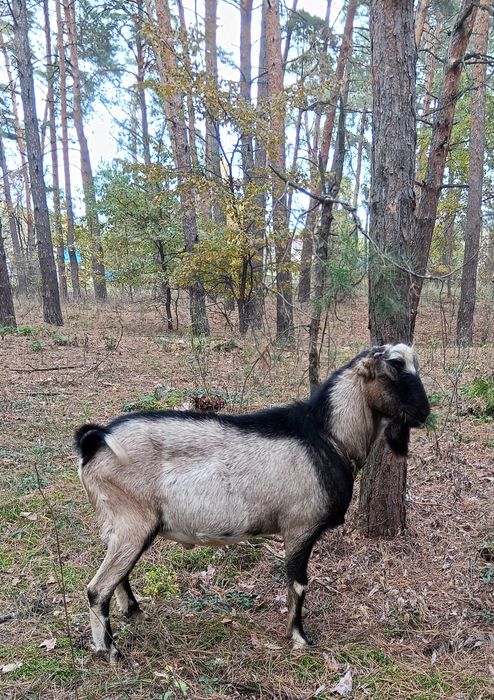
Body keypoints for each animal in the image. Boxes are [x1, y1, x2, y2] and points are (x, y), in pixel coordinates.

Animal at [74, 343, 430, 661]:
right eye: (391, 371)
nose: (424, 412)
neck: (327, 436)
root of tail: (96, 441)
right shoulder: (299, 527)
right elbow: (298, 583)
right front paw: (299, 638)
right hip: (133, 521)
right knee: (97, 588)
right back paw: (110, 652)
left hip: (120, 526)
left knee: (118, 575)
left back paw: (134, 613)